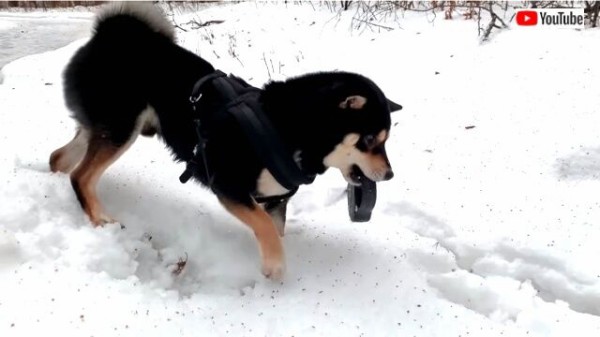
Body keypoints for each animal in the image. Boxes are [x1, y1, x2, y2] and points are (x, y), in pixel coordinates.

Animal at [49, 1, 400, 278]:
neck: (288, 129)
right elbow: (264, 226)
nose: (389, 174)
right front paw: (275, 267)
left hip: (103, 128)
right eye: (370, 139)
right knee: (82, 176)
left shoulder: (275, 201)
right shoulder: (229, 186)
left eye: (385, 141)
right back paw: (99, 218)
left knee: (60, 159)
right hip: (121, 128)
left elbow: (273, 229)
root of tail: (107, 35)